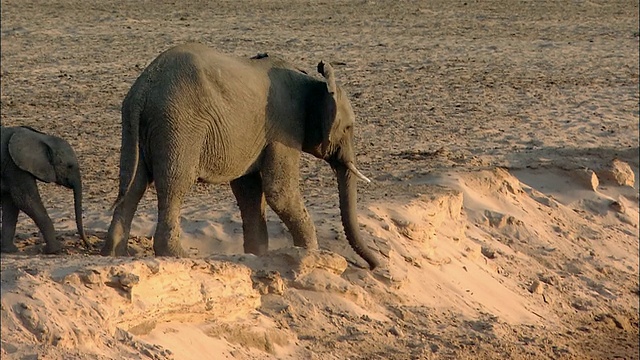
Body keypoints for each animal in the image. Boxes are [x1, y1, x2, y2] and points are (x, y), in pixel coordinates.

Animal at [102, 42, 378, 268]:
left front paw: (257, 254)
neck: (313, 82)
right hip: (178, 123)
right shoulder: (284, 128)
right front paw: (311, 254)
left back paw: (115, 254)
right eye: (349, 128)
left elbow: (249, 192)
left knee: (133, 183)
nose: (373, 266)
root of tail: (143, 88)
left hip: (136, 125)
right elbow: (279, 192)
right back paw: (177, 255)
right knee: (174, 184)